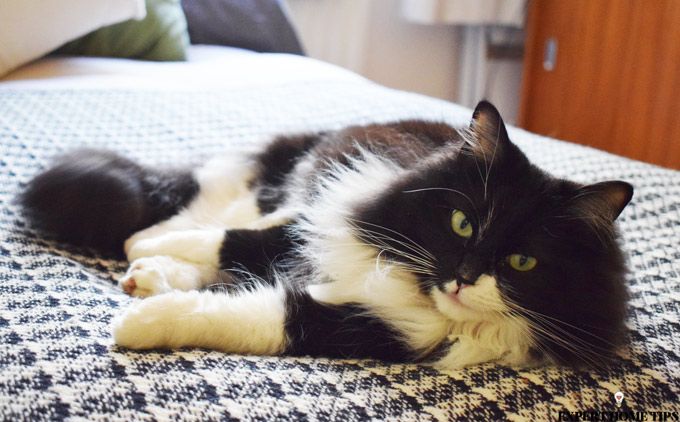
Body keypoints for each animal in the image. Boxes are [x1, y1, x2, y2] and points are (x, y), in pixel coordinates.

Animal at [23, 100, 636, 368]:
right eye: (462, 223)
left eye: (522, 263)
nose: (463, 278)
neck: (412, 284)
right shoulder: (325, 217)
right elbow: (233, 239)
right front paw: (142, 254)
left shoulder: (366, 326)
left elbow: (247, 313)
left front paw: (139, 324)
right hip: (288, 183)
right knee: (215, 210)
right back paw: (146, 259)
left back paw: (148, 281)